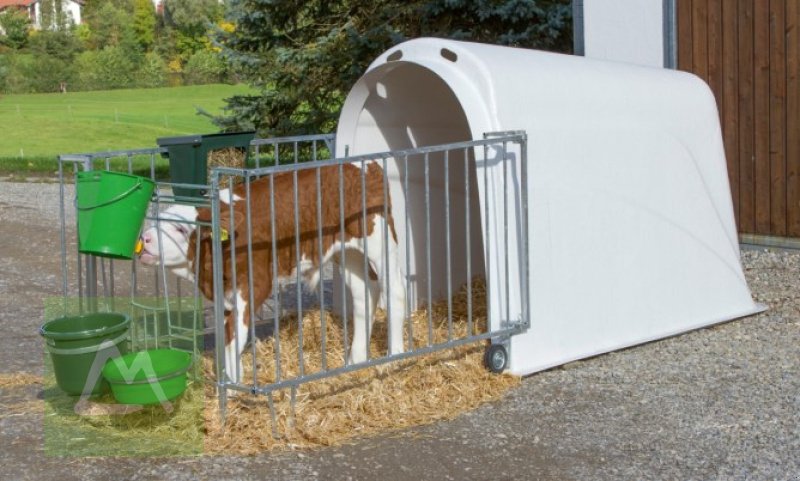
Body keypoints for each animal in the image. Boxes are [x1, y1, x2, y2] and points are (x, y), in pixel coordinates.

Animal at [137, 164, 406, 382]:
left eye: (181, 229)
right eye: (155, 223)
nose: (145, 239)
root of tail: (365, 166)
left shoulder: (254, 282)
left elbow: (236, 335)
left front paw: (233, 389)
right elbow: (226, 336)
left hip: (379, 239)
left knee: (394, 289)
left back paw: (395, 357)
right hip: (346, 252)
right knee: (365, 292)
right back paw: (356, 360)